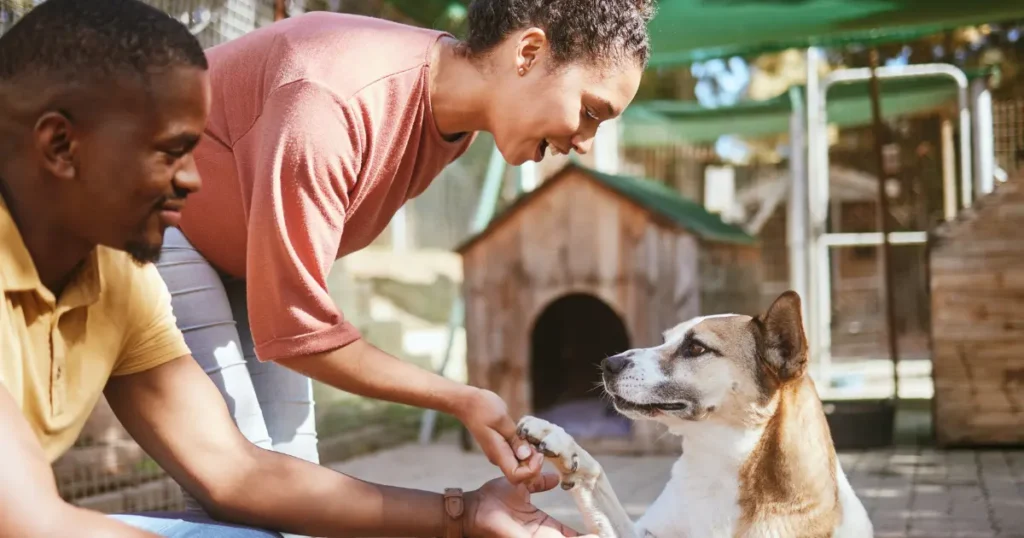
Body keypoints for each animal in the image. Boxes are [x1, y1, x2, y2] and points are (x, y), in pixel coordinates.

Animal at [520, 291, 872, 532]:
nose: (608, 364)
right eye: (664, 339)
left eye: (696, 347)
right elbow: (595, 477)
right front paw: (561, 443)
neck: (717, 465)